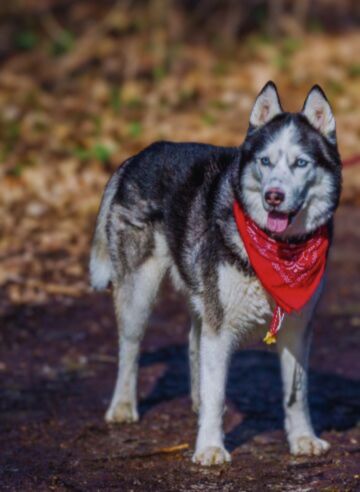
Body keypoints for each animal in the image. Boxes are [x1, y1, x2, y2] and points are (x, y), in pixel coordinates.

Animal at [89, 80, 340, 466]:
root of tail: (138, 156)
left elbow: (296, 394)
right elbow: (217, 393)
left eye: (301, 163)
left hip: (199, 293)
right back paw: (123, 406)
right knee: (129, 348)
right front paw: (209, 446)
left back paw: (194, 402)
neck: (278, 250)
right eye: (265, 161)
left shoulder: (297, 327)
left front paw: (302, 439)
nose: (273, 196)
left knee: (193, 340)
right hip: (139, 294)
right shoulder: (220, 328)